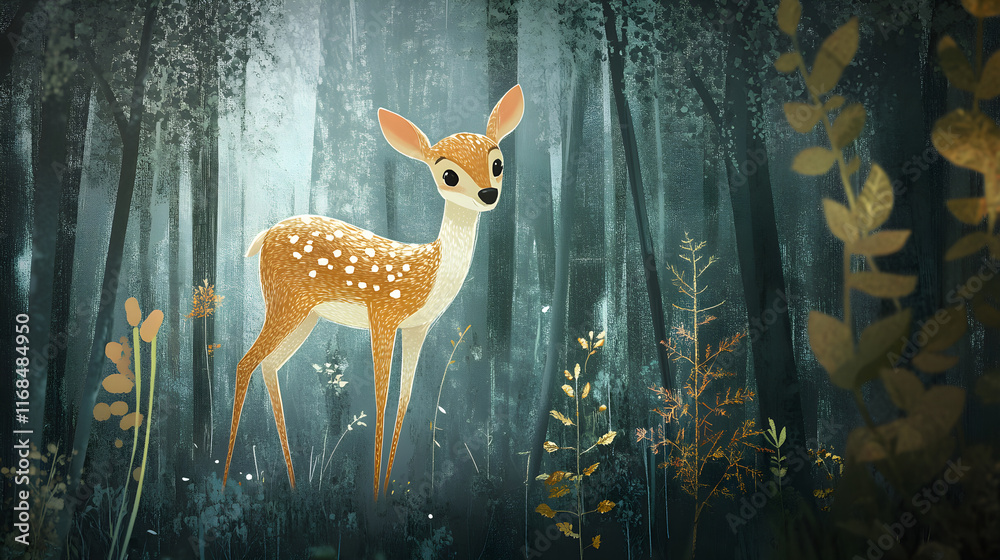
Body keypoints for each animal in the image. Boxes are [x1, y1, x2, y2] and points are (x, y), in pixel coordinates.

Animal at [223, 84, 524, 500]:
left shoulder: (418, 327)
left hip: (307, 314)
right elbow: (381, 400)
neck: (431, 273)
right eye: (448, 174)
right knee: (245, 362)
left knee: (270, 365)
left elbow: (404, 399)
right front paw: (377, 493)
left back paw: (295, 481)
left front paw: (384, 489)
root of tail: (262, 235)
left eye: (497, 164)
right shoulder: (383, 312)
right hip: (284, 301)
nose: (488, 194)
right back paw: (225, 479)